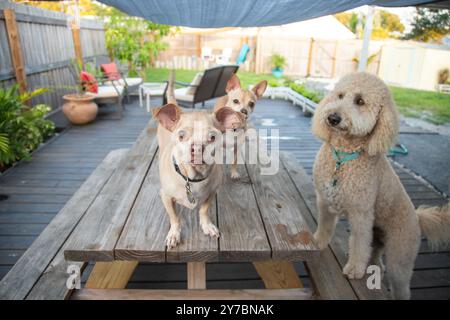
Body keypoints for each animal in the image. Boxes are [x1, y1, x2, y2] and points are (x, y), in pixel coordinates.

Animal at [153, 77, 244, 248]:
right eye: (181, 136)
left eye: (213, 137)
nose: (197, 148)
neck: (193, 178)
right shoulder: (166, 197)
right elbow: (175, 218)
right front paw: (174, 234)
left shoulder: (212, 193)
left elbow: (204, 210)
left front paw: (206, 225)